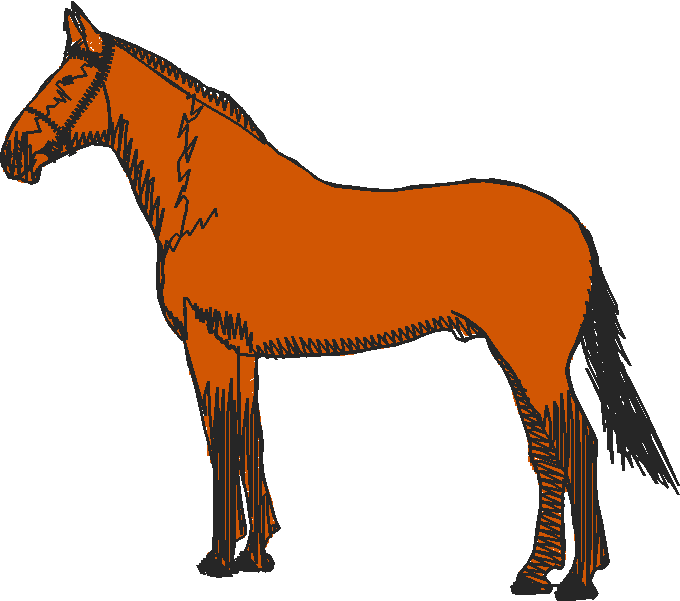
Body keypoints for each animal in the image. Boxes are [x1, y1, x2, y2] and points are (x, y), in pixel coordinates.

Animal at [3, 4, 677, 597]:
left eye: (69, 81)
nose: (13, 155)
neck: (210, 206)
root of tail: (571, 226)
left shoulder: (208, 346)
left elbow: (221, 442)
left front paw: (220, 561)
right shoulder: (240, 353)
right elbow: (248, 437)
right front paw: (257, 555)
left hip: (531, 360)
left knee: (572, 446)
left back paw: (570, 581)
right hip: (521, 361)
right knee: (553, 449)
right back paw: (552, 573)